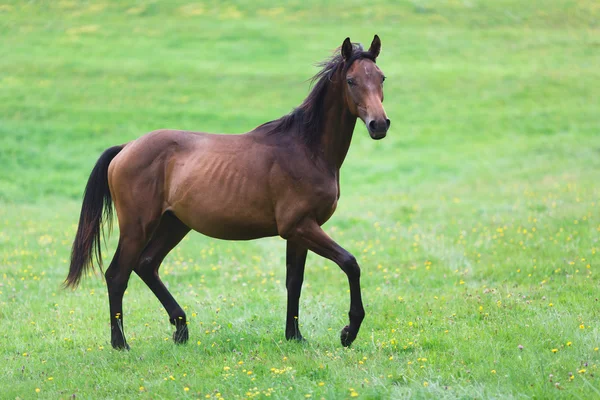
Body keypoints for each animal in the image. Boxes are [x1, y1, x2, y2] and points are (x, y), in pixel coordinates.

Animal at [65, 36, 392, 350]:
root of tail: (126, 148)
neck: (306, 148)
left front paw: (295, 336)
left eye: (381, 77)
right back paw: (121, 343)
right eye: (351, 80)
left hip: (174, 224)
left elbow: (294, 282)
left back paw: (180, 328)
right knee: (117, 275)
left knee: (146, 265)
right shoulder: (300, 226)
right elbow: (350, 263)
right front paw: (348, 332)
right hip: (137, 226)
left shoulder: (299, 232)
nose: (379, 125)